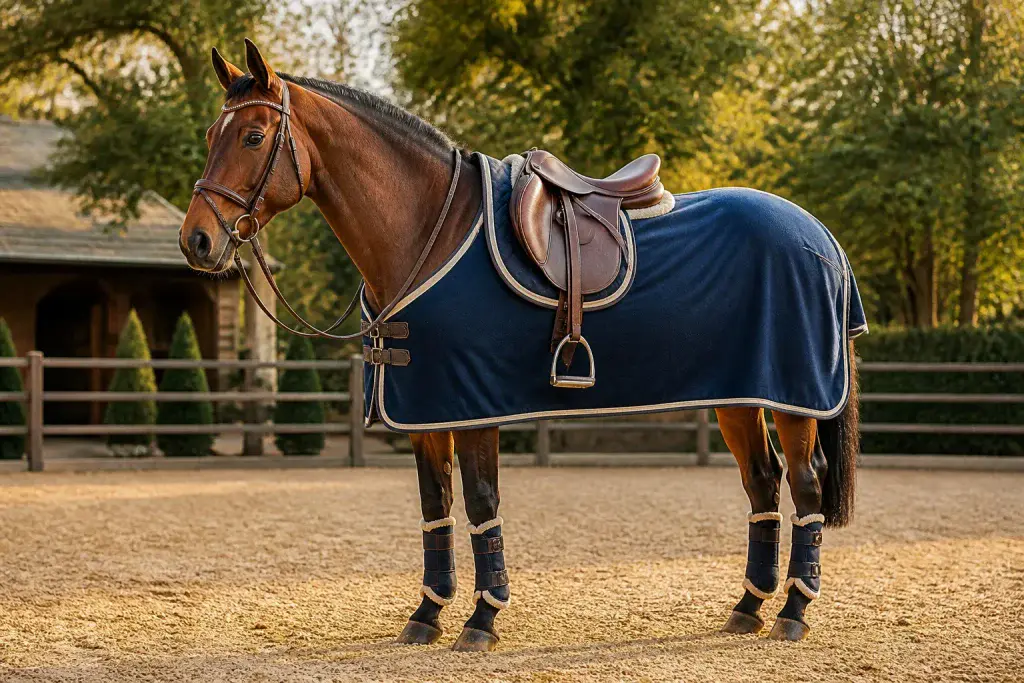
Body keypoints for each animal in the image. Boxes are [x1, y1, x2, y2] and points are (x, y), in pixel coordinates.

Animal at [179, 40, 862, 651]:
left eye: (254, 137)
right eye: (212, 133)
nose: (198, 241)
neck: (430, 229)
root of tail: (823, 238)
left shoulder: (475, 404)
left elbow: (482, 504)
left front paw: (482, 619)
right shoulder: (429, 408)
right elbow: (435, 508)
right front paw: (427, 615)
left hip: (794, 399)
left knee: (805, 485)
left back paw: (794, 611)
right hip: (740, 397)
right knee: (763, 485)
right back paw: (748, 607)